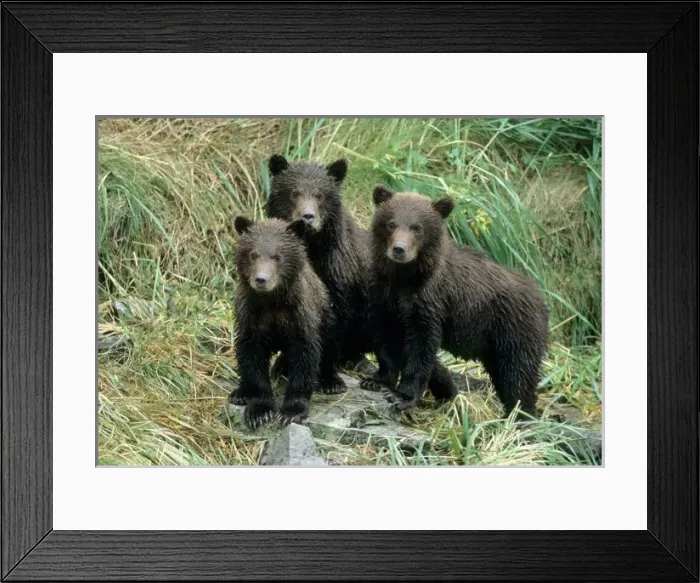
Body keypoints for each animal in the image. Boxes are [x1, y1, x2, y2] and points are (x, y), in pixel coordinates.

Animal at [229, 216, 345, 429]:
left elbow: (305, 357)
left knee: (330, 346)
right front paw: (259, 411)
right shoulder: (251, 317)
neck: (272, 301)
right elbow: (251, 356)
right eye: (253, 254)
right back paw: (240, 393)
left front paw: (291, 411)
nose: (261, 279)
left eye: (277, 256)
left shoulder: (299, 317)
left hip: (327, 316)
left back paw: (331, 382)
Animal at [265, 154, 374, 378]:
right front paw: (281, 365)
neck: (312, 247)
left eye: (320, 195)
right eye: (295, 192)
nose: (307, 216)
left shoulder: (337, 274)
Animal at [364, 186, 549, 418]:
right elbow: (387, 338)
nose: (399, 249)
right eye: (391, 223)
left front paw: (404, 397)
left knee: (518, 376)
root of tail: (541, 299)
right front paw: (377, 380)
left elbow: (421, 348)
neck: (404, 278)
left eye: (417, 228)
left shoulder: (429, 302)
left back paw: (521, 415)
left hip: (515, 331)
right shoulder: (385, 297)